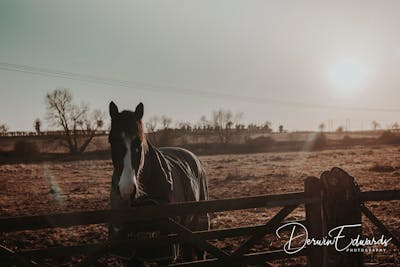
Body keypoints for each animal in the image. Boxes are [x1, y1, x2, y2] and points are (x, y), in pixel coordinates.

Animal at [108, 101, 209, 264]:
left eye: (138, 143)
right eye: (111, 141)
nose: (126, 189)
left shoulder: (165, 252)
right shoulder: (132, 255)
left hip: (198, 226)